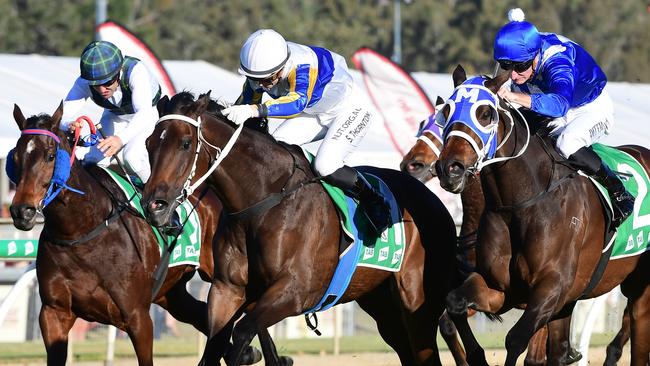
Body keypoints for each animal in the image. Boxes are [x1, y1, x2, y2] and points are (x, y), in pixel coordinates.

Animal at [6, 103, 278, 366]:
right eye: (15, 157)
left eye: (50, 156)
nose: (21, 211)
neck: (81, 232)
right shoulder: (54, 314)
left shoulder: (137, 317)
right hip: (171, 292)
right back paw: (244, 353)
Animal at [142, 92, 456, 366]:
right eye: (148, 144)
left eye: (185, 143)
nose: (154, 205)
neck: (262, 200)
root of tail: (433, 200)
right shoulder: (226, 290)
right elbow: (213, 349)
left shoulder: (296, 291)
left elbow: (241, 334)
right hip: (381, 303)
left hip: (418, 303)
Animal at [432, 66, 648, 366]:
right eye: (446, 112)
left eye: (485, 113)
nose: (449, 168)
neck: (518, 204)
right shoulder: (502, 288)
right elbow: (454, 304)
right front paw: (477, 357)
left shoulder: (550, 289)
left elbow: (515, 341)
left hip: (639, 290)